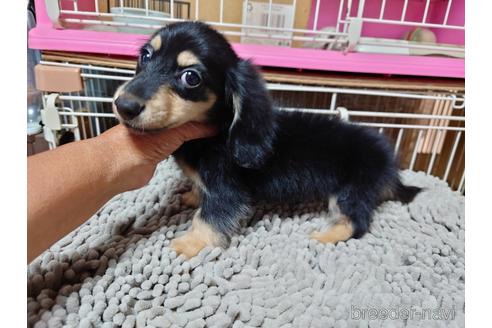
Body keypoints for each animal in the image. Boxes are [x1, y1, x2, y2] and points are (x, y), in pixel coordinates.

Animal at [113, 22, 420, 258]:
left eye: (191, 77)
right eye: (145, 56)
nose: (124, 105)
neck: (216, 134)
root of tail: (388, 161)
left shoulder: (227, 190)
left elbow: (209, 217)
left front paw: (189, 244)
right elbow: (201, 192)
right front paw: (192, 195)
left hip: (350, 192)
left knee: (356, 223)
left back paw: (323, 237)